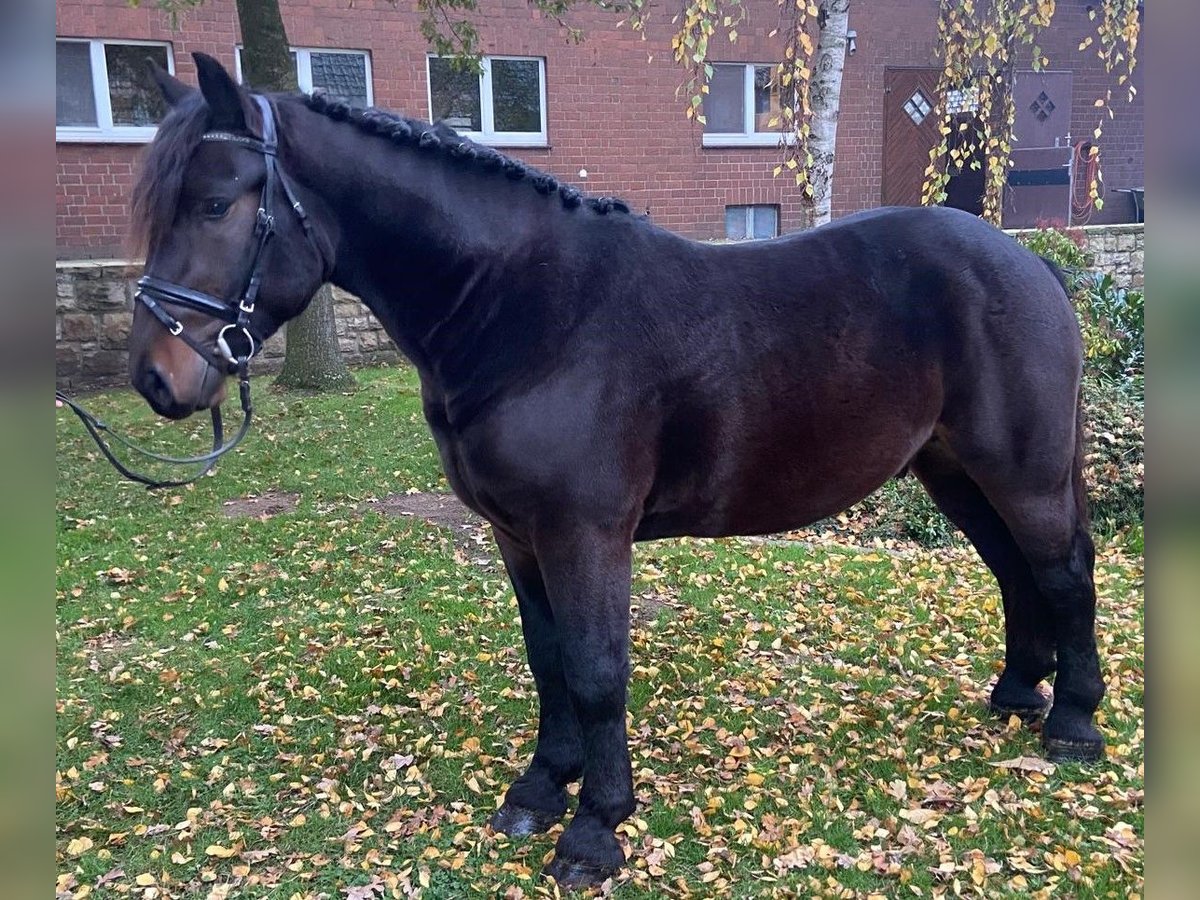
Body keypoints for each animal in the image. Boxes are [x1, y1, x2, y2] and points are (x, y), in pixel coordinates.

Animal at [124, 52, 1104, 892]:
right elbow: (549, 658)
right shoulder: (517, 535)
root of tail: (1032, 264)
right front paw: (537, 789)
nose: (155, 379)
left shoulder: (584, 534)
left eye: (215, 204)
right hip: (953, 472)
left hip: (1022, 473)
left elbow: (597, 671)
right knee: (1015, 573)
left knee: (1062, 574)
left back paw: (1074, 723)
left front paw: (594, 830)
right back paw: (1017, 694)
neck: (526, 310)